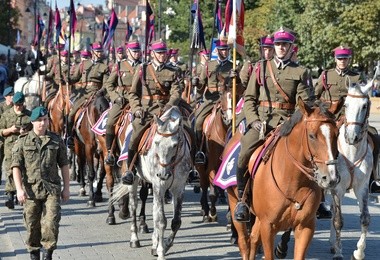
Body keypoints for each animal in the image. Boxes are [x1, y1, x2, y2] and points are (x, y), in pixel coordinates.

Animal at [111, 105, 191, 260]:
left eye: (175, 145)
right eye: (156, 142)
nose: (163, 174)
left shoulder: (179, 188)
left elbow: (175, 222)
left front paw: (165, 245)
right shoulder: (158, 185)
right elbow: (161, 221)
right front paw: (160, 251)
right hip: (134, 179)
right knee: (133, 206)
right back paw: (134, 239)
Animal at [227, 98, 340, 258]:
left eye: (337, 134)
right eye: (312, 136)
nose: (330, 178)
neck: (293, 180)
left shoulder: (305, 226)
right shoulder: (268, 226)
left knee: (254, 239)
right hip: (234, 202)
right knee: (244, 242)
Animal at [328, 80, 376, 258]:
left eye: (365, 106)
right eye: (346, 104)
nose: (352, 136)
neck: (352, 152)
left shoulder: (362, 187)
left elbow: (365, 218)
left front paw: (359, 252)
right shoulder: (337, 188)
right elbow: (339, 220)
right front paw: (339, 253)